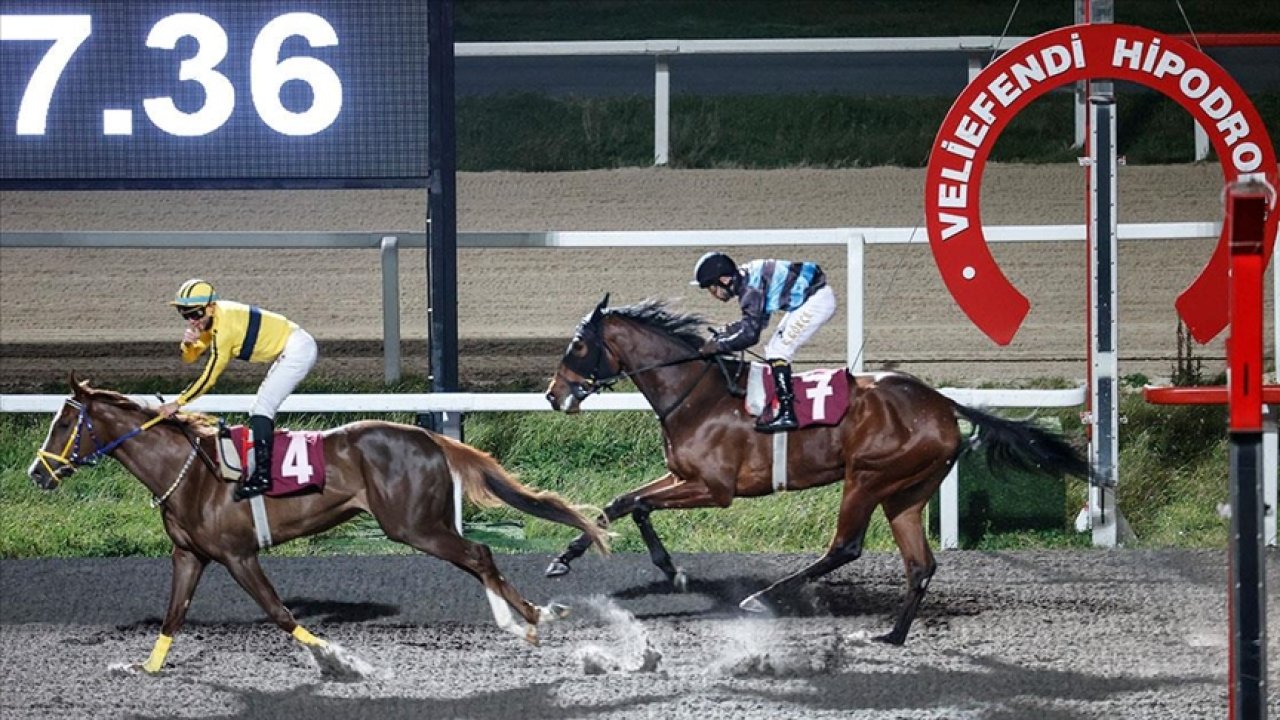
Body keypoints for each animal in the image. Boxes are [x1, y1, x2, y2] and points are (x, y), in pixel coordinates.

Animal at [28, 376, 609, 671]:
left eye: (64, 423)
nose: (37, 472)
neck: (189, 471)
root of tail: (429, 436)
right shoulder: (190, 555)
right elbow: (174, 614)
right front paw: (147, 668)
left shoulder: (239, 554)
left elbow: (279, 613)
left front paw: (336, 658)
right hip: (423, 522)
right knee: (476, 560)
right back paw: (521, 620)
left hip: (413, 525)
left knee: (480, 555)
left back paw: (532, 618)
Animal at [540, 294, 1090, 640]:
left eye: (579, 345)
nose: (552, 394)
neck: (697, 394)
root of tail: (941, 403)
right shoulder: (681, 476)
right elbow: (623, 503)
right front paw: (573, 559)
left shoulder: (713, 488)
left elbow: (634, 503)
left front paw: (669, 571)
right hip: (907, 493)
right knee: (920, 565)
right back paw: (892, 636)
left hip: (867, 478)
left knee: (845, 547)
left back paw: (762, 598)